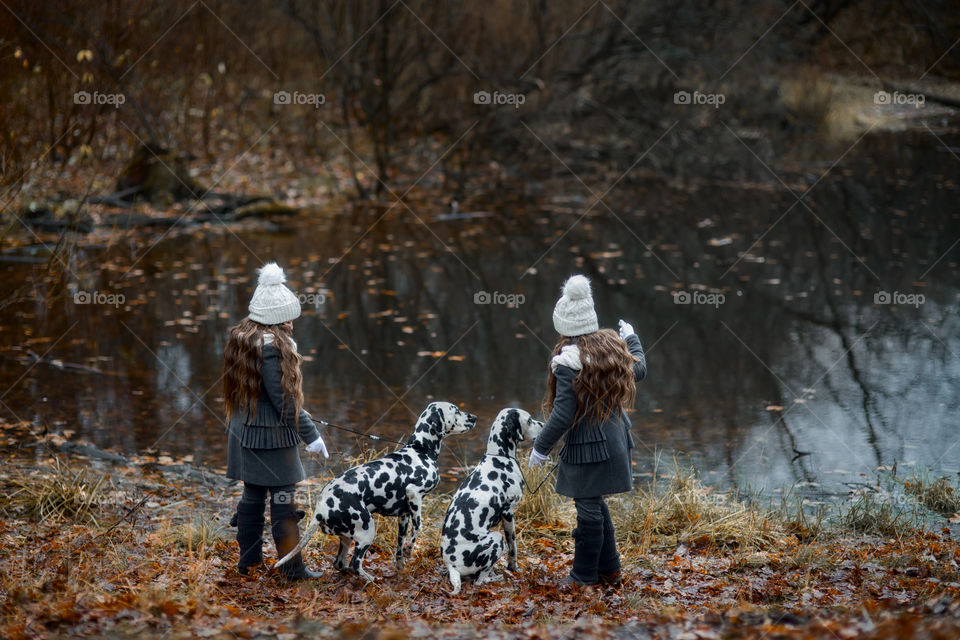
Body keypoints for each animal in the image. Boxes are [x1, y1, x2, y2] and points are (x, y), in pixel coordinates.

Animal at [274, 402, 476, 584]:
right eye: (456, 410)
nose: (474, 417)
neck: (421, 449)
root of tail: (320, 509)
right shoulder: (414, 495)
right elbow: (418, 527)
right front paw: (411, 549)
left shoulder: (403, 516)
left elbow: (399, 546)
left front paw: (401, 565)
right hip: (367, 529)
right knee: (355, 563)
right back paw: (371, 579)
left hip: (347, 537)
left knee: (340, 564)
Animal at [440, 408, 544, 596]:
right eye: (530, 420)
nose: (544, 425)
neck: (499, 457)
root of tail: (452, 566)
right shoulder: (508, 514)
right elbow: (513, 546)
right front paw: (513, 568)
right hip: (497, 538)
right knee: (479, 581)